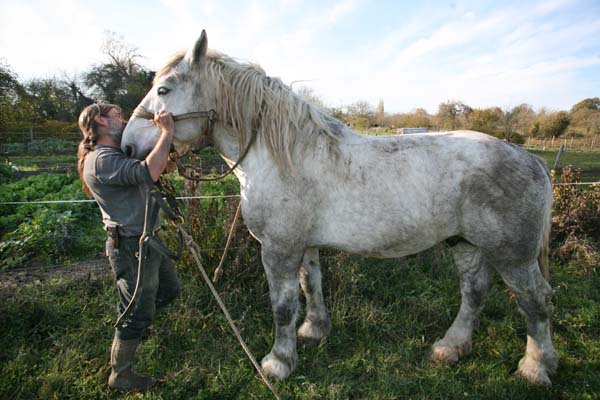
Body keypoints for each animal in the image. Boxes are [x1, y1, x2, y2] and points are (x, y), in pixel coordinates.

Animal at [120, 32, 556, 388]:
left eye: (163, 90)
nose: (127, 146)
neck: (284, 156)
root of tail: (532, 161)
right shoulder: (303, 246)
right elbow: (310, 286)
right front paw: (315, 330)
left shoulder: (278, 249)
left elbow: (282, 306)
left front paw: (278, 363)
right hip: (464, 242)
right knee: (474, 291)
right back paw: (451, 347)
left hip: (513, 256)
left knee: (535, 300)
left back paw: (536, 367)